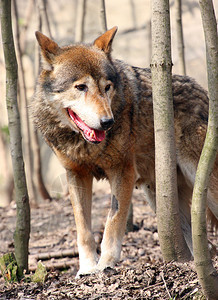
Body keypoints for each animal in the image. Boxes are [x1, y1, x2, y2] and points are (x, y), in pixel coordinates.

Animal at [33, 27, 217, 276]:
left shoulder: (123, 172)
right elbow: (83, 229)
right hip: (159, 197)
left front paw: (105, 264)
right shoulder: (76, 175)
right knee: (202, 244)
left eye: (107, 87)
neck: (85, 146)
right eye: (81, 87)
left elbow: (113, 222)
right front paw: (86, 268)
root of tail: (204, 93)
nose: (107, 122)